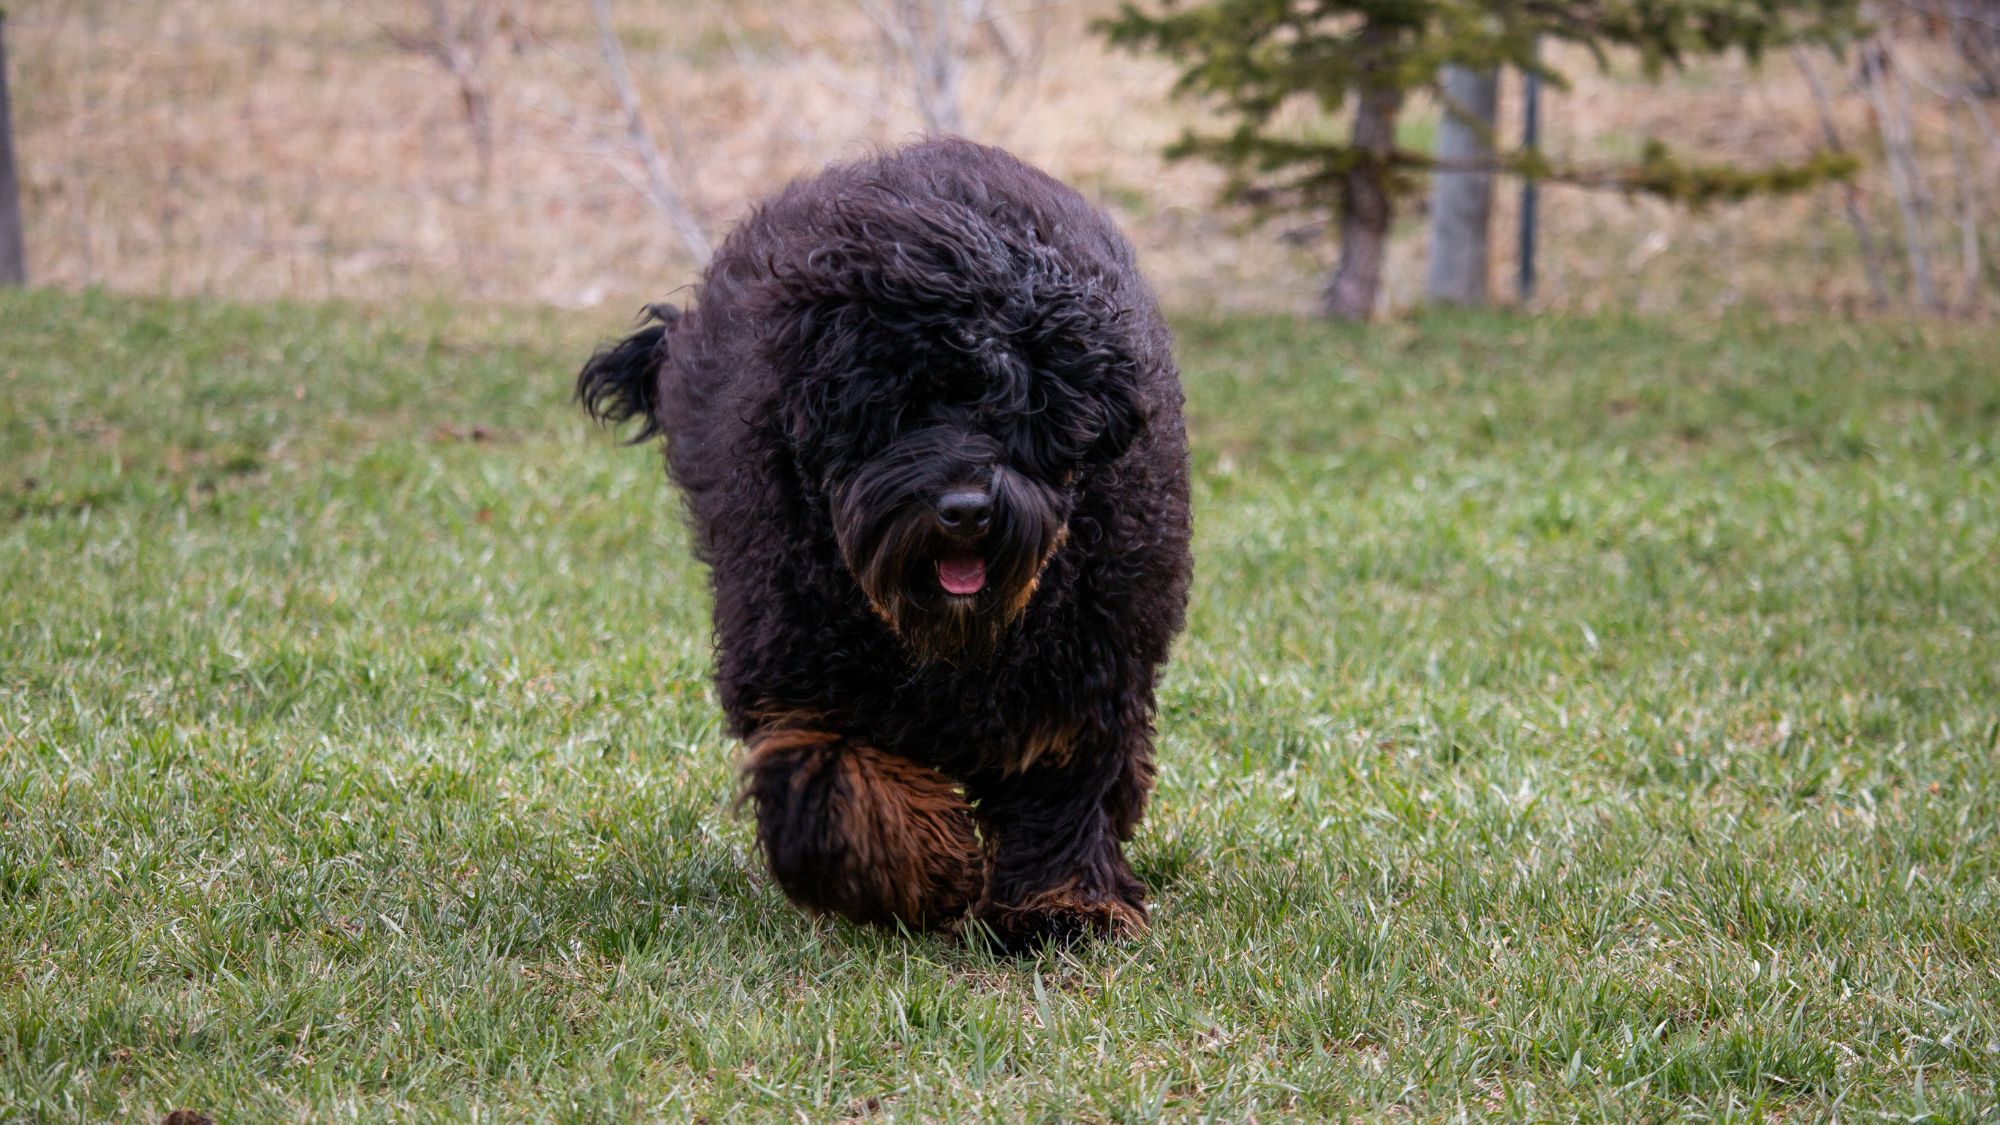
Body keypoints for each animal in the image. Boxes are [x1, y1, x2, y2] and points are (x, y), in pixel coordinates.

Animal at [584, 138, 1192, 944]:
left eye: (1014, 405)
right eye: (896, 410)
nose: (965, 510)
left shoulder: (1082, 663)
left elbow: (1064, 786)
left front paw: (1062, 905)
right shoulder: (803, 665)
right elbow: (840, 775)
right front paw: (931, 871)